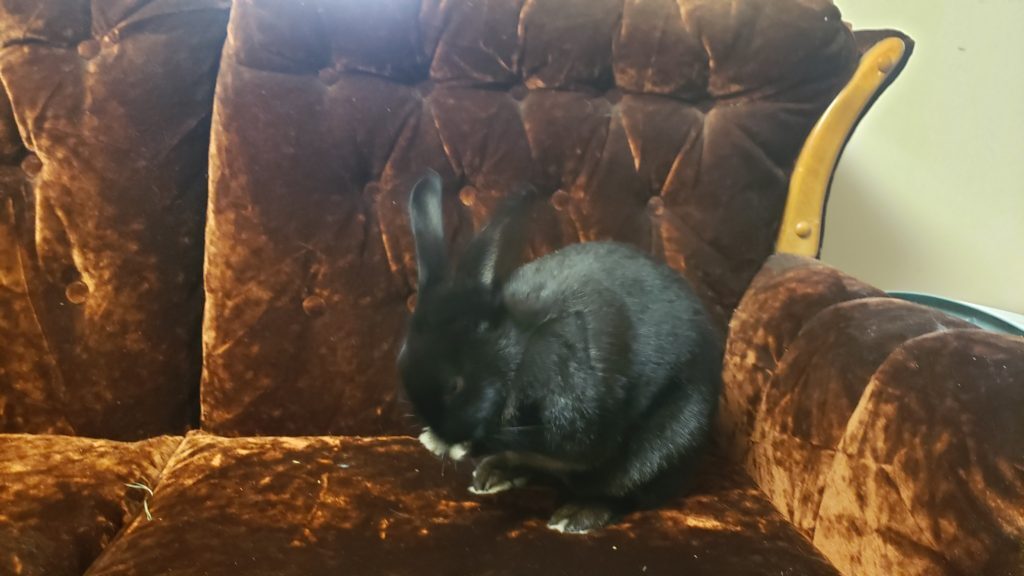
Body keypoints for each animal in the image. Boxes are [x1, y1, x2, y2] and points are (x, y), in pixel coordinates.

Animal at [397, 169, 722, 534]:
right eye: (402, 362)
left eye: (455, 385)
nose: (443, 433)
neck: (517, 353)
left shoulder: (574, 421)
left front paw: (449, 445)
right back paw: (494, 474)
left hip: (664, 448)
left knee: (629, 493)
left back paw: (576, 514)